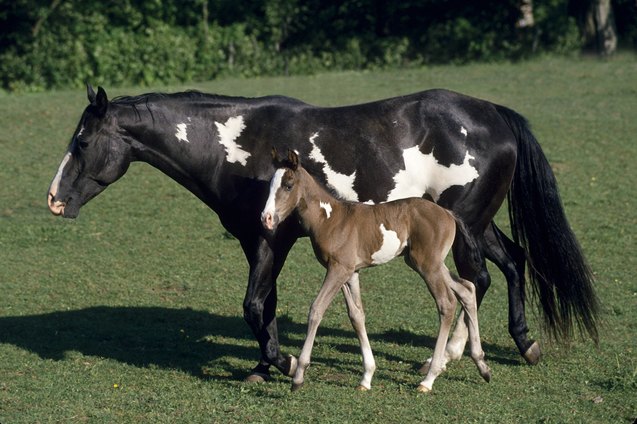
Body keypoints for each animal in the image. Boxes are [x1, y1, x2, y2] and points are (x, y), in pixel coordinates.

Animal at [260, 151, 490, 392]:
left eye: (288, 185)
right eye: (270, 185)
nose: (266, 218)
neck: (330, 219)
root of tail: (448, 212)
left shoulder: (338, 270)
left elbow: (316, 310)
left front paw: (298, 375)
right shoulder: (350, 273)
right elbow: (356, 316)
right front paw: (366, 377)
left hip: (428, 266)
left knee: (447, 303)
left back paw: (429, 379)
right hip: (427, 263)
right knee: (467, 289)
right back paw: (482, 365)